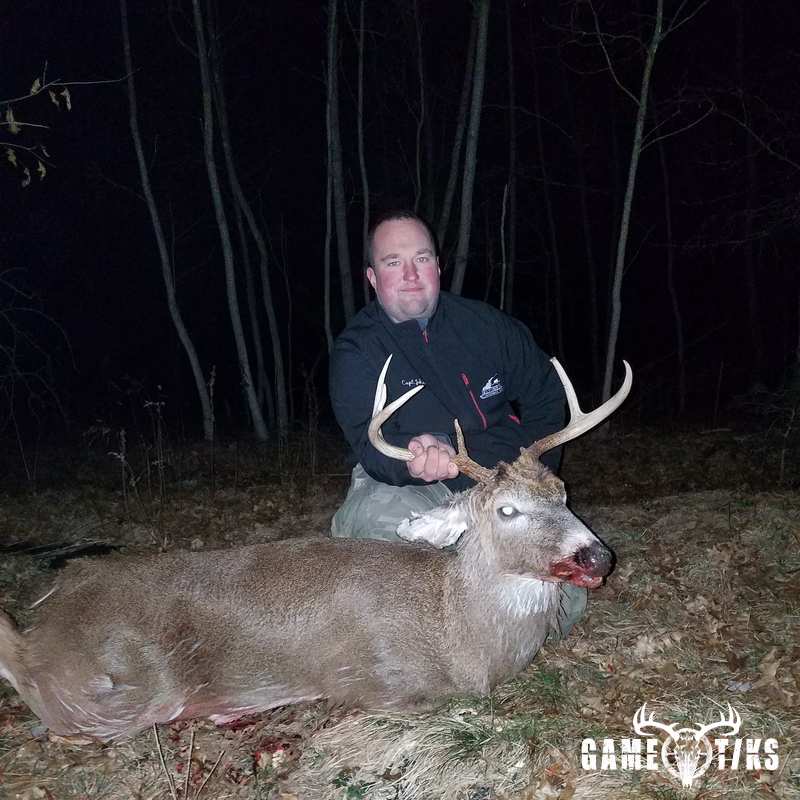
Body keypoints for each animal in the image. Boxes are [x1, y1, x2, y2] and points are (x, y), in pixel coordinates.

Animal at [0, 356, 631, 742]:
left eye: (563, 492)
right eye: (506, 510)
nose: (597, 557)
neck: (461, 636)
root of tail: (49, 613)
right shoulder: (377, 681)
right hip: (116, 693)